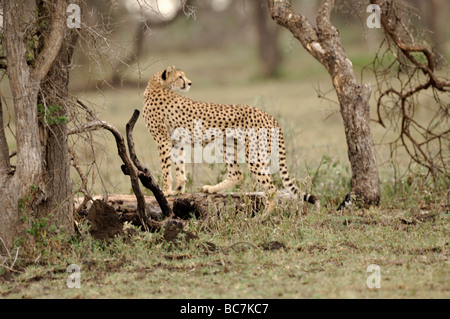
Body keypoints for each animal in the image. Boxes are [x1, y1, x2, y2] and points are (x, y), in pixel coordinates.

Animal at [142, 65, 318, 210]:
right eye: (180, 77)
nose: (190, 83)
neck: (156, 85)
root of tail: (266, 114)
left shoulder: (162, 139)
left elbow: (166, 168)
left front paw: (165, 191)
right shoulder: (175, 141)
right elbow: (179, 166)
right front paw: (178, 190)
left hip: (253, 154)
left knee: (271, 189)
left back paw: (263, 216)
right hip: (227, 145)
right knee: (237, 174)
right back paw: (212, 189)